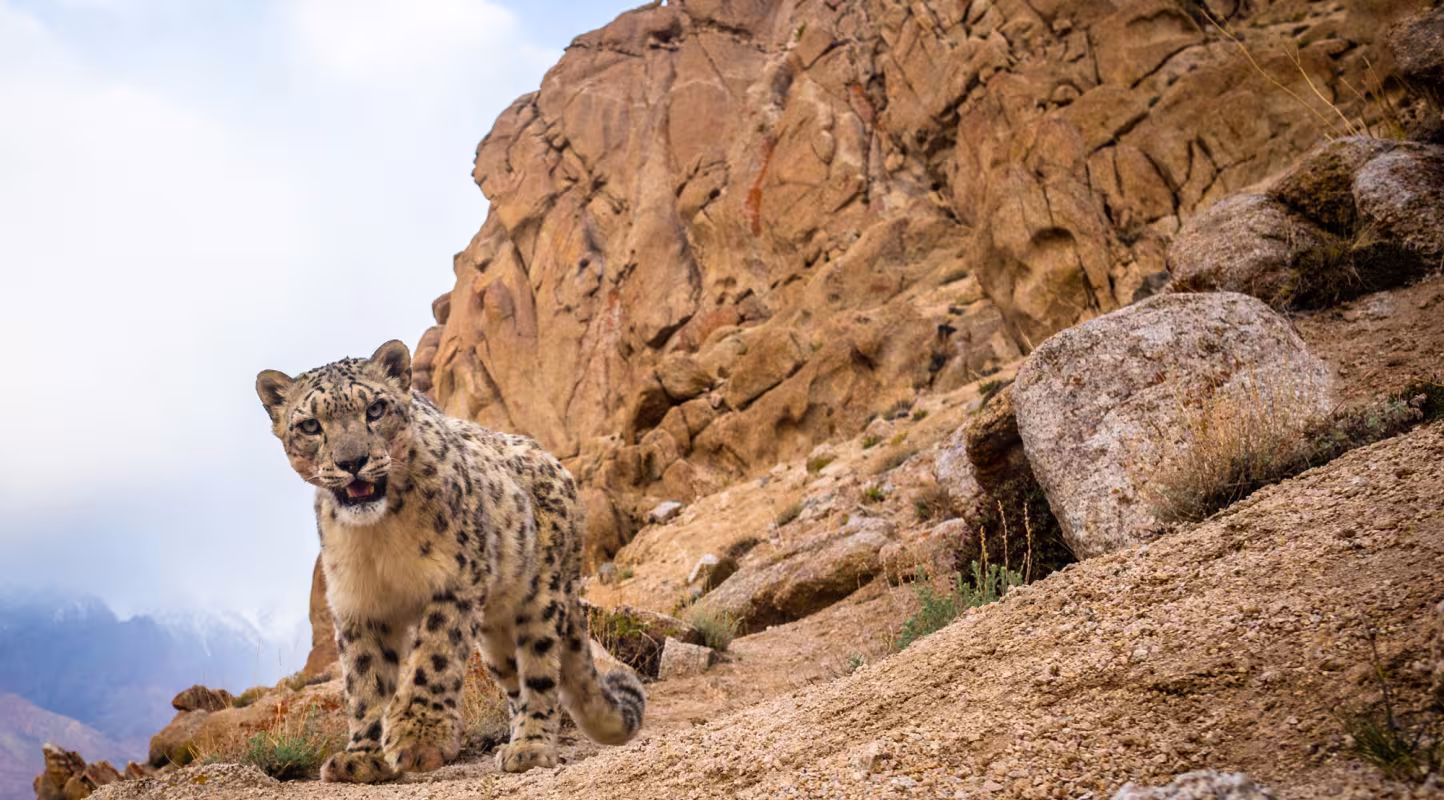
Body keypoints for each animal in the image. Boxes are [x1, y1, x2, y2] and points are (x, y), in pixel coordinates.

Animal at [255, 339, 644, 782]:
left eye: (375, 409)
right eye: (310, 426)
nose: (352, 461)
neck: (379, 534)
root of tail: (560, 469)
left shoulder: (454, 580)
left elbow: (433, 657)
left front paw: (417, 739)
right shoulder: (360, 604)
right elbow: (365, 680)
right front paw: (361, 757)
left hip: (541, 598)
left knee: (540, 674)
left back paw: (529, 748)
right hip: (495, 632)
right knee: (514, 683)